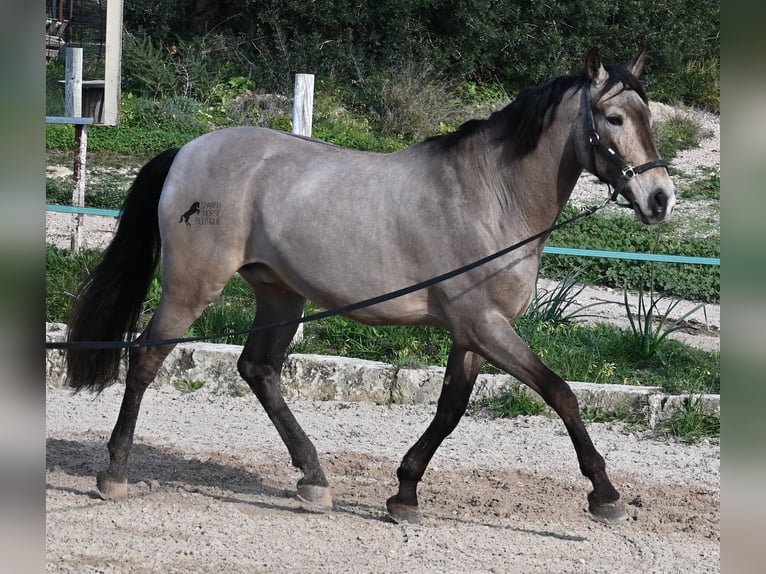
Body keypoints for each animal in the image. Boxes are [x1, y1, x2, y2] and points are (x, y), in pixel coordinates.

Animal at [63, 47, 675, 524]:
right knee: (146, 359)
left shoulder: (472, 333)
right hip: (193, 287)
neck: (491, 198)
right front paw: (606, 494)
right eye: (613, 117)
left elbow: (450, 410)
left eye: (648, 117)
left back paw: (313, 479)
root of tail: (187, 150)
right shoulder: (485, 325)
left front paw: (404, 493)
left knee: (259, 370)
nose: (660, 199)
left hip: (280, 294)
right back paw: (115, 472)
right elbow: (560, 393)